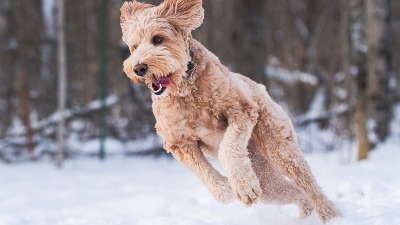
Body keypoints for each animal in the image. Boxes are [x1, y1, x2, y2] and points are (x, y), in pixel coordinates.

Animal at [119, 0, 340, 221]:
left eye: (158, 39)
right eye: (134, 47)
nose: (138, 68)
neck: (186, 89)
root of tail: (263, 89)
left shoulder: (241, 110)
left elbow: (229, 147)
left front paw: (243, 186)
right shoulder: (178, 141)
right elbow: (200, 169)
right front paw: (224, 189)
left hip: (279, 148)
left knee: (310, 187)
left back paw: (331, 215)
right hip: (267, 182)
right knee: (296, 193)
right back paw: (305, 213)